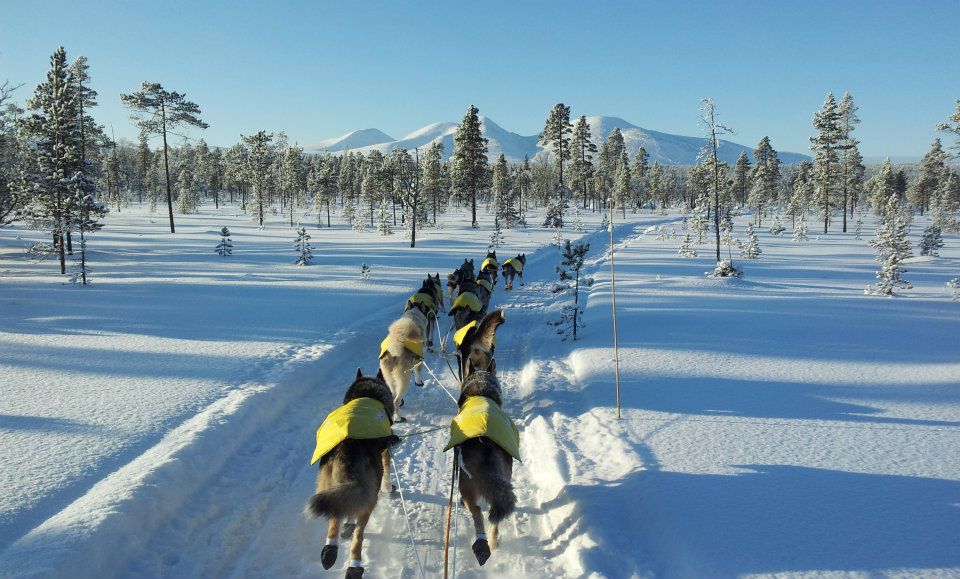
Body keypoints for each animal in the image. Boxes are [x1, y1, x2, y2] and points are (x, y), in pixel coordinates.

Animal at [306, 370, 400, 576]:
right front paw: (389, 489)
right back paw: (354, 566)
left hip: (328, 486)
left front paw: (347, 524)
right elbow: (387, 472)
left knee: (335, 516)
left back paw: (330, 551)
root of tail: (349, 446)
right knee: (358, 535)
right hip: (369, 498)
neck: (367, 392)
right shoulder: (385, 453)